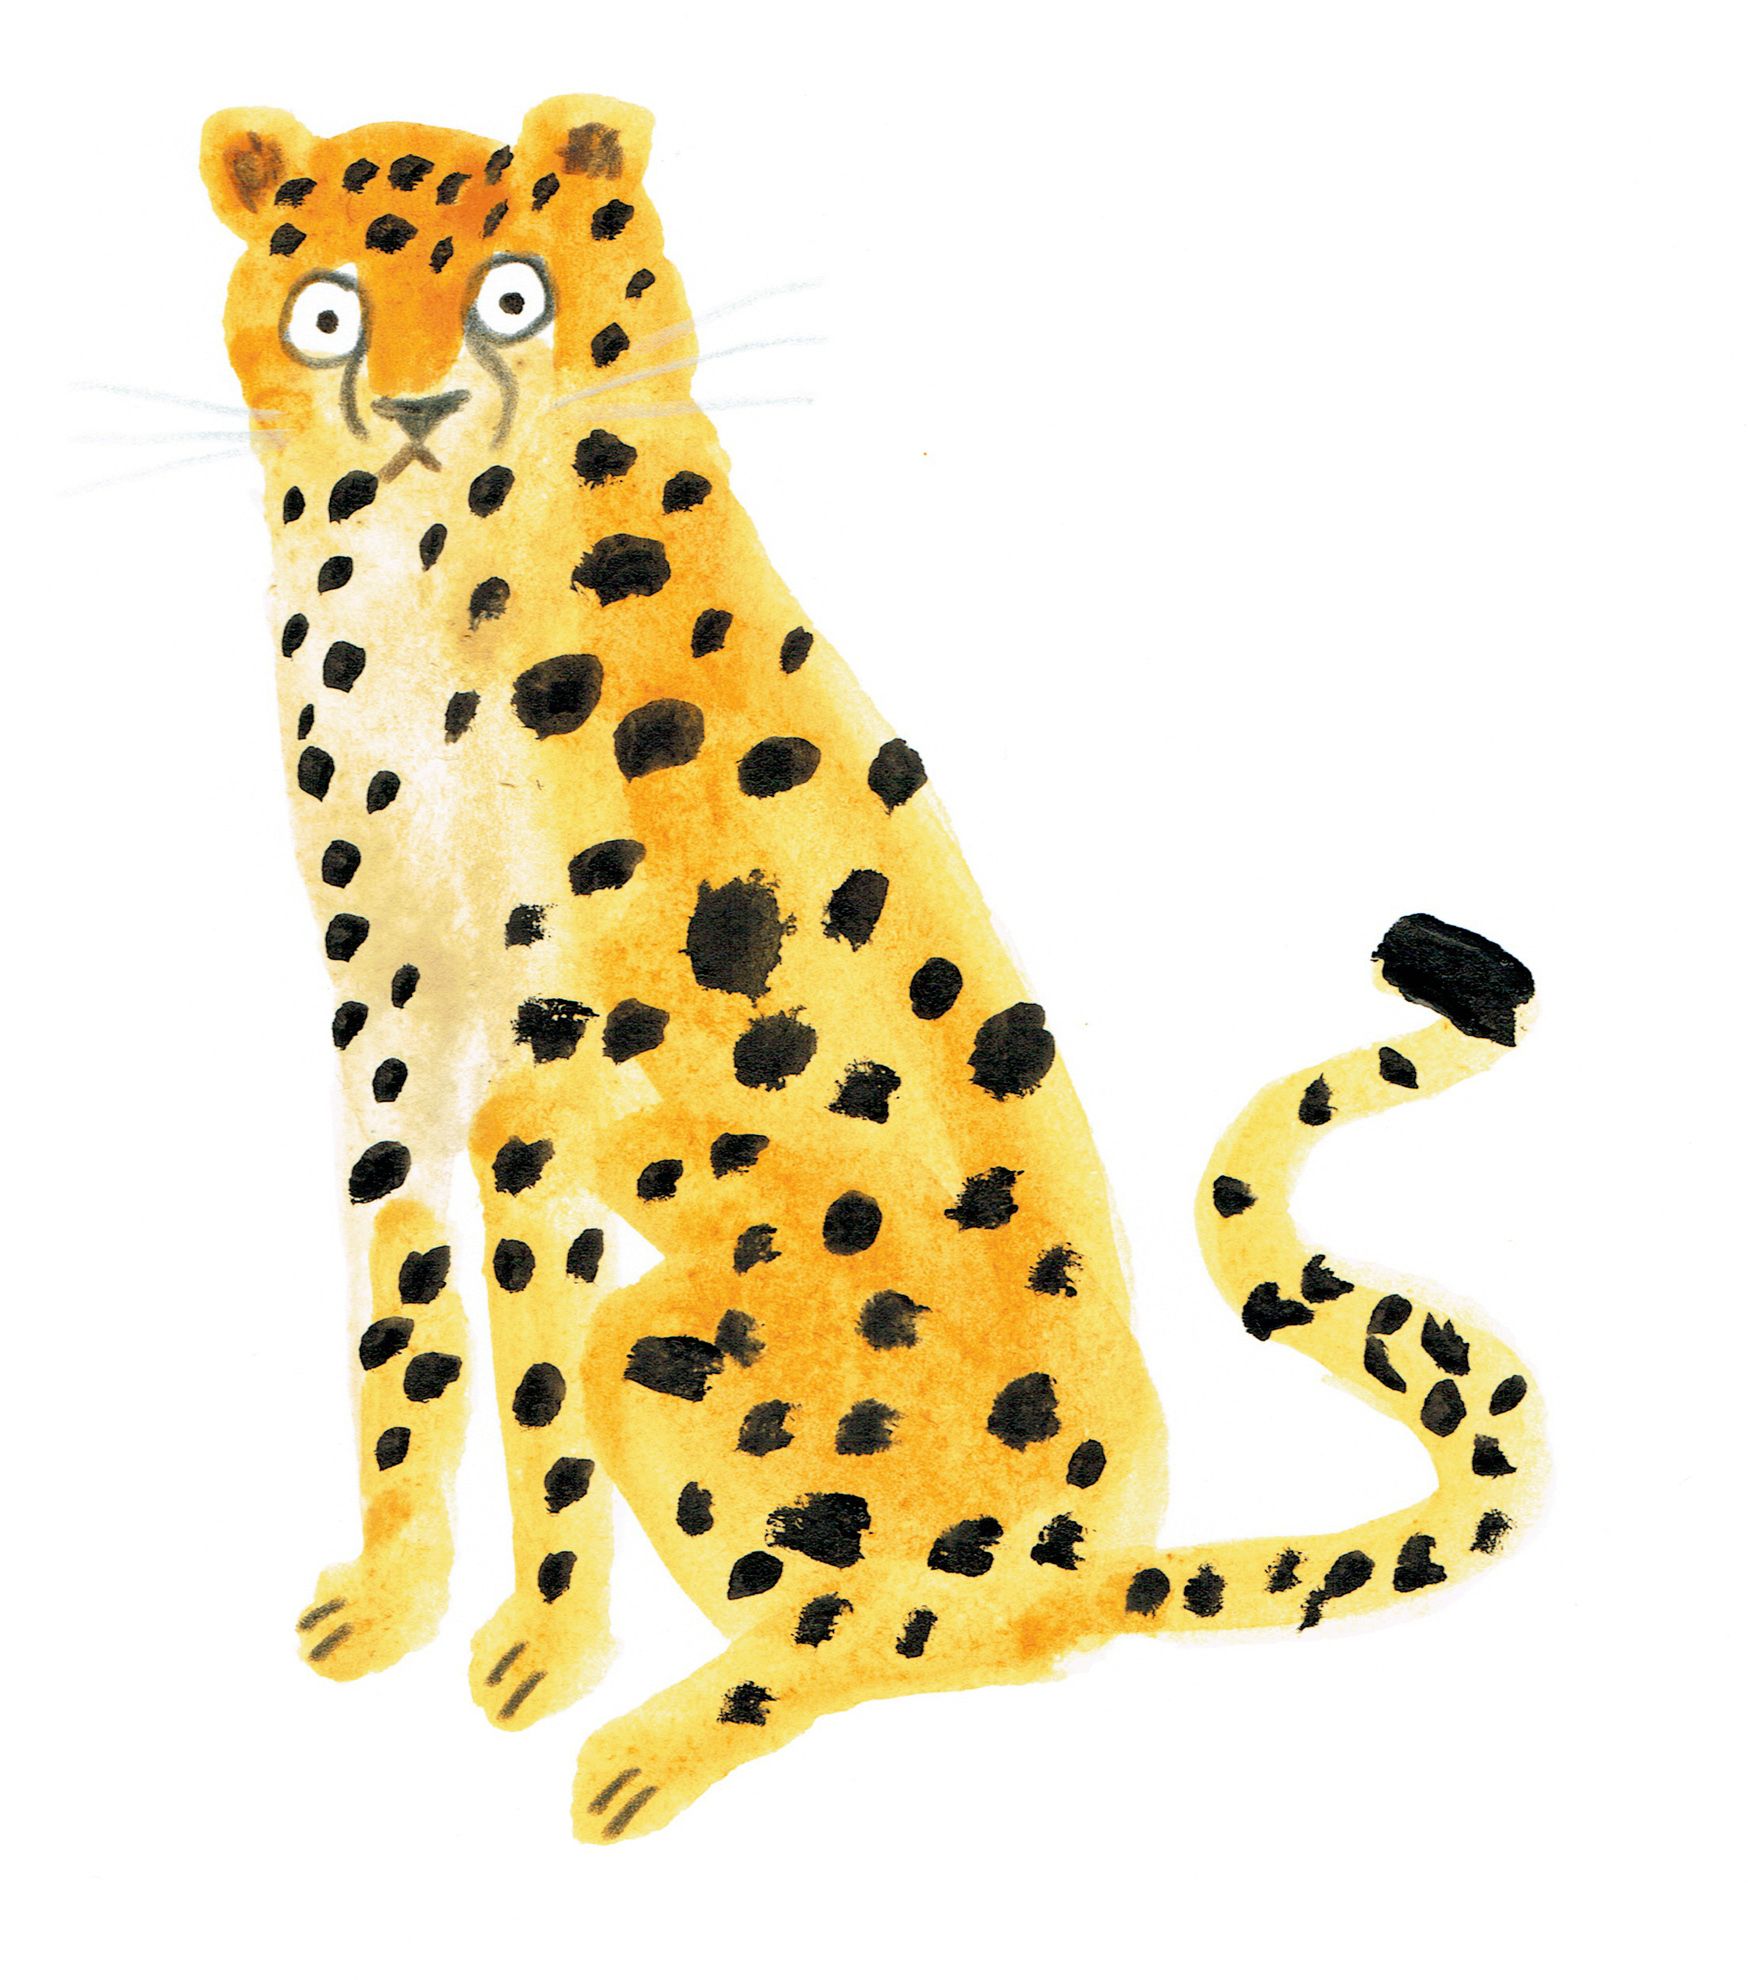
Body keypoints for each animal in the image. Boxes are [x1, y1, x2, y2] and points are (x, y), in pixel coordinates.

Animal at [202, 93, 1546, 1845]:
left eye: (512, 295)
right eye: (328, 313)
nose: (418, 411)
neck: (415, 572)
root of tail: (1107, 1562)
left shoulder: (556, 1082)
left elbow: (540, 1394)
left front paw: (545, 1654)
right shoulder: (395, 1037)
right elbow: (402, 1321)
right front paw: (389, 1599)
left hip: (708, 1360)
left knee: (906, 1624)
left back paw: (660, 1739)